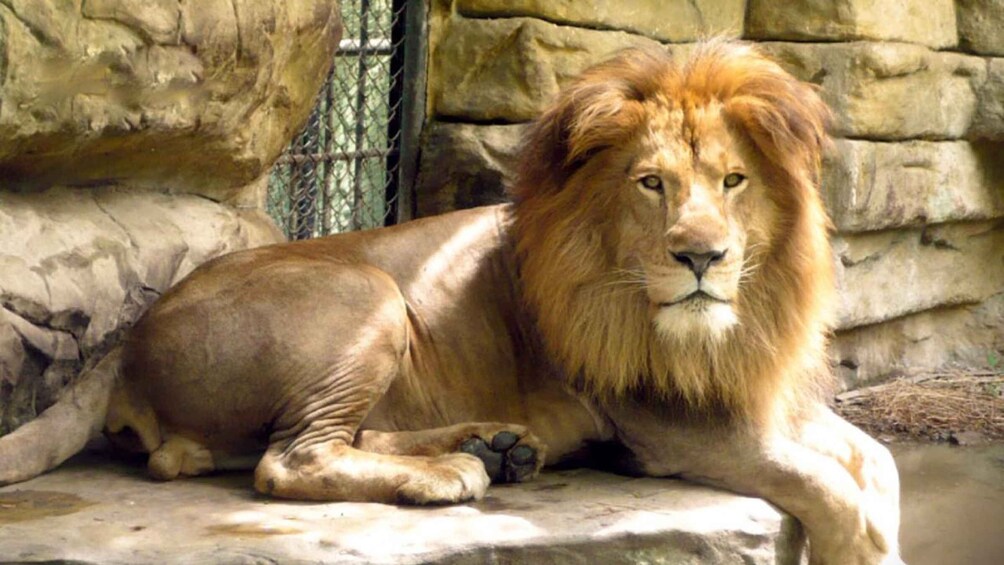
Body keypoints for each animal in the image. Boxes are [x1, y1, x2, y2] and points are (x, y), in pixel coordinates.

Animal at [0, 41, 900, 564]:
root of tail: (127, 336)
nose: (702, 256)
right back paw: (455, 472)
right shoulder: (664, 419)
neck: (730, 325)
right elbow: (828, 485)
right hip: (365, 289)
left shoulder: (762, 391)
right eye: (652, 184)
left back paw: (495, 446)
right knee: (288, 457)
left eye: (734, 180)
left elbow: (877, 463)